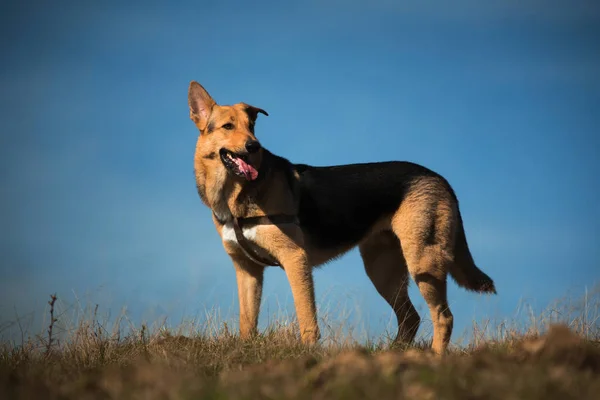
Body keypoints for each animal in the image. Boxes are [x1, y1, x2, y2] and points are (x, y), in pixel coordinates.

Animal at [189, 80, 496, 354]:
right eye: (228, 126)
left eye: (251, 127)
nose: (254, 146)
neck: (234, 193)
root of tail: (440, 178)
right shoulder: (247, 270)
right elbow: (247, 321)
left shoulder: (295, 259)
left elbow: (306, 317)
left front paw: (309, 354)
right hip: (383, 270)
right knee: (411, 317)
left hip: (423, 262)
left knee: (443, 317)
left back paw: (434, 358)